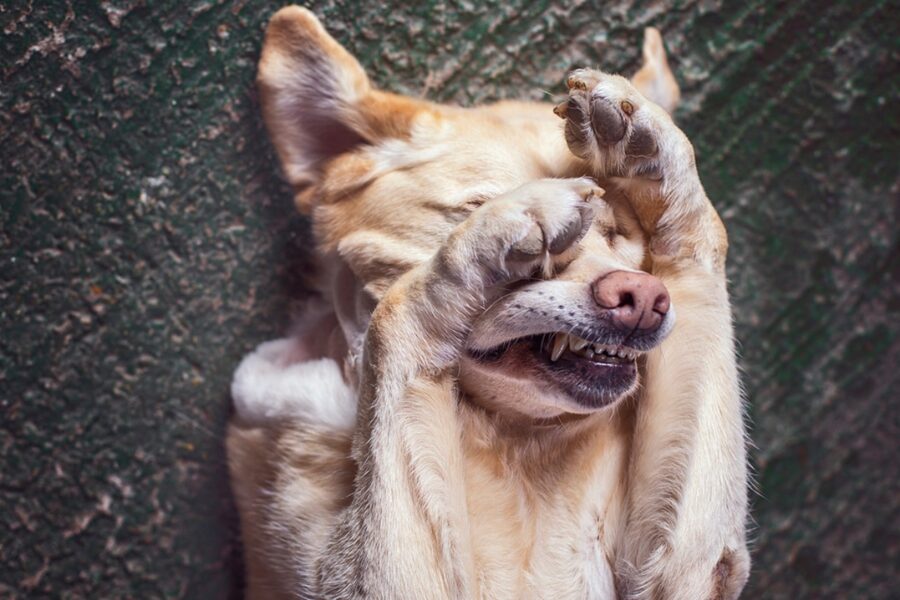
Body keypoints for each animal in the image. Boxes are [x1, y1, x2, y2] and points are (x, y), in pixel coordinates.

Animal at [229, 5, 748, 600]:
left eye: (617, 231)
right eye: (475, 206)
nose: (641, 298)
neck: (515, 440)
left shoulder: (684, 572)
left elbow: (700, 229)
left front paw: (651, 144)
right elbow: (398, 308)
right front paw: (495, 232)